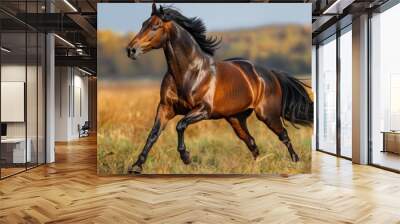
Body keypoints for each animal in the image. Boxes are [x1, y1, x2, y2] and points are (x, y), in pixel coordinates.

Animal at [125, 4, 312, 174]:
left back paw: (296, 162)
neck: (189, 73)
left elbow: (180, 125)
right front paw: (136, 166)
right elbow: (153, 134)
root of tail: (270, 73)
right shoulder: (165, 108)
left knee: (284, 135)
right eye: (143, 24)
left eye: (155, 26)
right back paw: (255, 168)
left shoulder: (203, 110)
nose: (131, 50)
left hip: (268, 115)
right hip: (236, 119)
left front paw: (186, 157)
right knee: (252, 142)